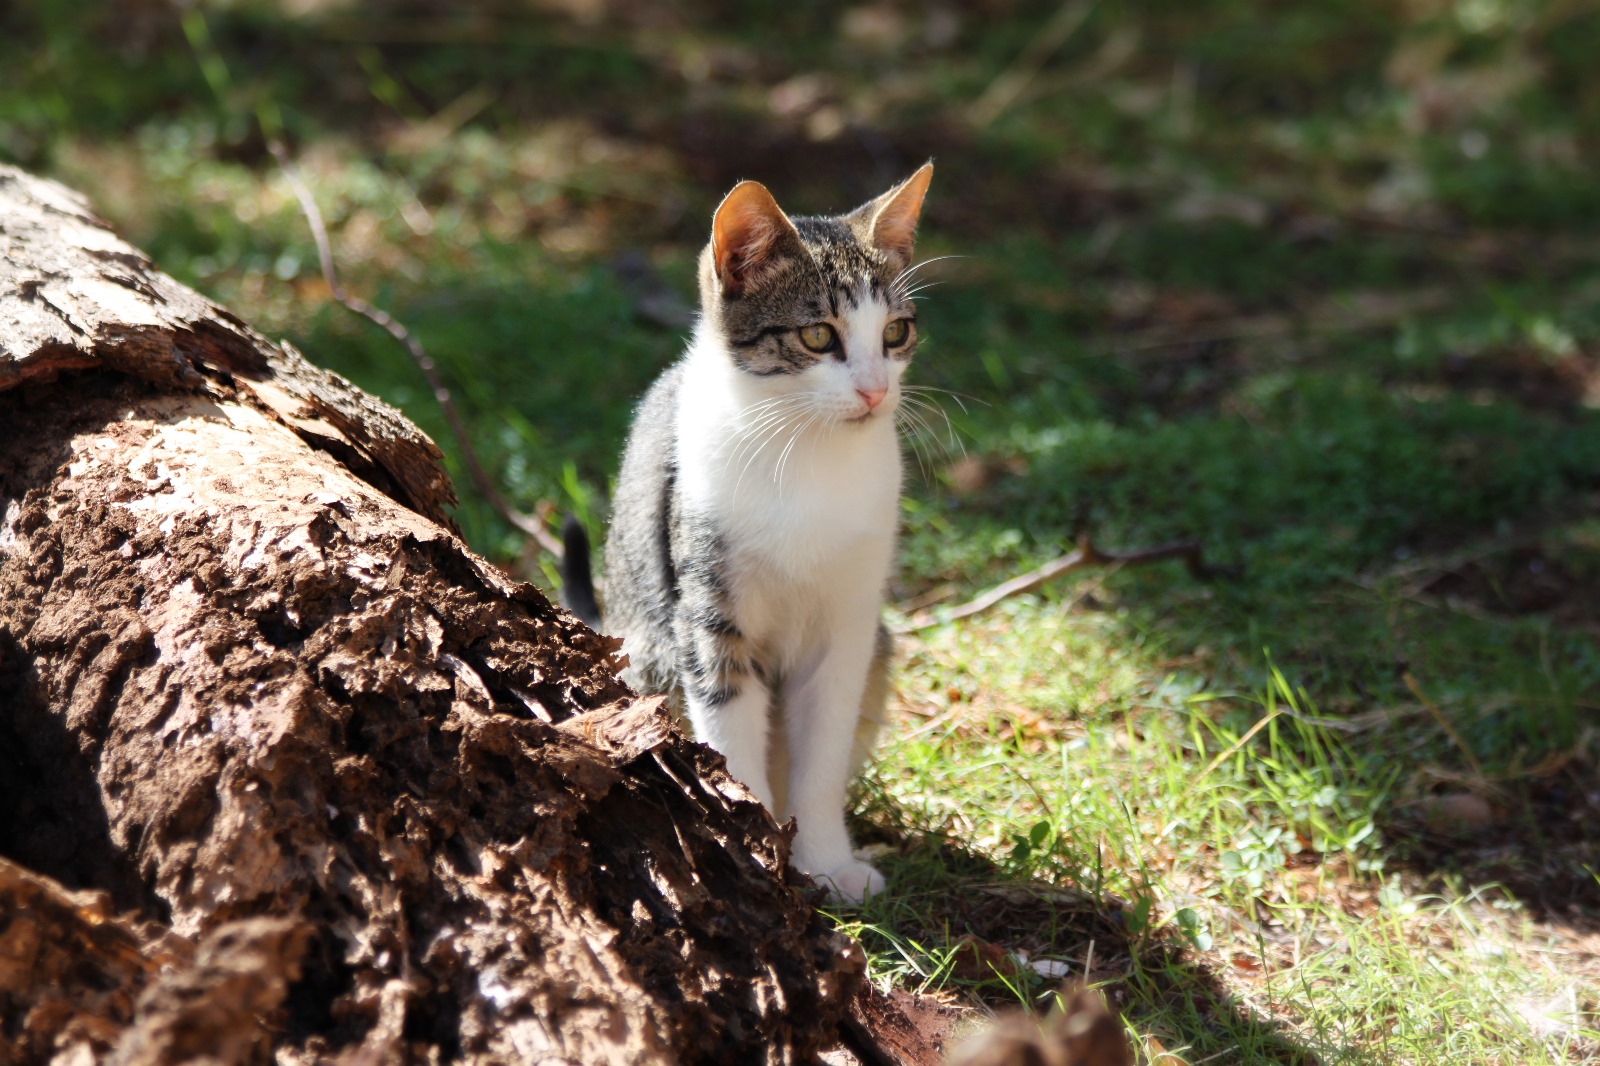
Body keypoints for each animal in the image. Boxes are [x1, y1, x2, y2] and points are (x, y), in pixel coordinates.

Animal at [566, 164, 934, 896]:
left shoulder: (848, 625)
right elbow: (730, 740)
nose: (876, 391)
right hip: (649, 648)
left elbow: (822, 751)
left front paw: (826, 861)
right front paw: (758, 851)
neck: (811, 455)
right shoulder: (708, 614)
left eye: (895, 333)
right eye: (818, 336)